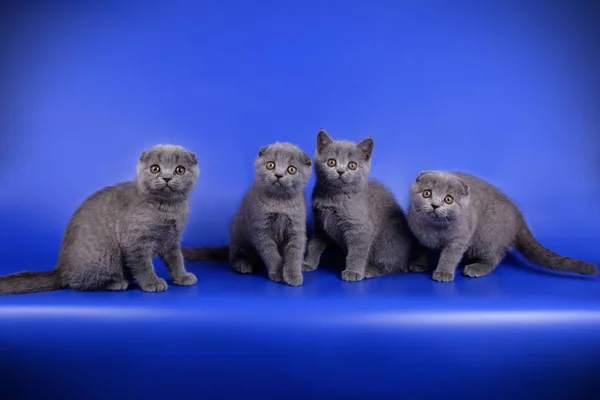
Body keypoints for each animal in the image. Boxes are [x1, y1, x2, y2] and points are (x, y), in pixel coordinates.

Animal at [0, 144, 202, 294]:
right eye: (155, 168)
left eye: (179, 170)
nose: (166, 177)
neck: (167, 208)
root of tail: (61, 268)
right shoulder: (135, 242)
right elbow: (143, 264)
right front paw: (151, 282)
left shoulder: (172, 240)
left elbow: (176, 259)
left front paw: (183, 277)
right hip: (106, 256)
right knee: (76, 283)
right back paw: (116, 283)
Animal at [182, 142, 314, 286]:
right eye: (270, 165)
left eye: (291, 169)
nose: (278, 175)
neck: (279, 203)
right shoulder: (261, 229)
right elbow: (271, 253)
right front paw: (278, 273)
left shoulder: (296, 228)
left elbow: (295, 254)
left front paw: (293, 275)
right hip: (238, 234)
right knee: (235, 255)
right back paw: (243, 264)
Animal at [302, 130, 414, 282]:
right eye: (331, 162)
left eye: (352, 165)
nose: (340, 171)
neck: (334, 197)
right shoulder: (320, 224)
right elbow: (314, 244)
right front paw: (308, 262)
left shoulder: (360, 229)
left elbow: (357, 252)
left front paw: (353, 271)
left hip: (386, 242)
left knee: (393, 266)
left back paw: (369, 270)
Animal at [408, 171, 596, 282]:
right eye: (427, 193)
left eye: (448, 199)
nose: (435, 205)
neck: (433, 228)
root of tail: (518, 215)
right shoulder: (418, 235)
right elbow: (420, 249)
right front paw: (418, 263)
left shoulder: (459, 239)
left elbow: (450, 256)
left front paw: (443, 272)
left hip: (487, 239)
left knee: (495, 257)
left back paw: (477, 267)